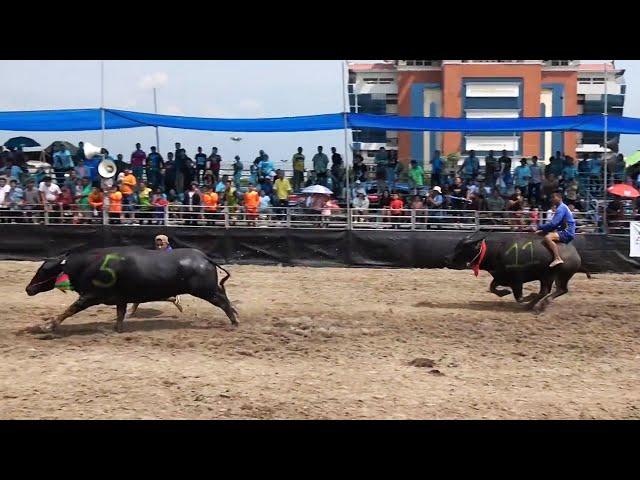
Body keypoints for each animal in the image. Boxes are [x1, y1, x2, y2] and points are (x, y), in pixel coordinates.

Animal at [24, 246, 240, 332]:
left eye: (43, 270)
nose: (28, 289)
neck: (89, 265)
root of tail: (204, 258)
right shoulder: (121, 299)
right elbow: (120, 314)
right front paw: (117, 329)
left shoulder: (90, 296)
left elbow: (70, 310)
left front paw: (48, 326)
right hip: (209, 289)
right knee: (225, 298)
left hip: (206, 291)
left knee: (223, 302)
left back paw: (234, 321)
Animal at [444, 232, 592, 314]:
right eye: (457, 246)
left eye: (463, 248)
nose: (447, 258)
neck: (496, 252)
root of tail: (575, 254)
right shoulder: (500, 277)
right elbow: (492, 287)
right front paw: (504, 292)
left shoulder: (517, 280)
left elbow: (519, 297)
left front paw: (528, 296)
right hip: (547, 277)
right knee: (548, 291)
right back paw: (533, 305)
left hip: (559, 276)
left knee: (557, 290)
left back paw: (538, 304)